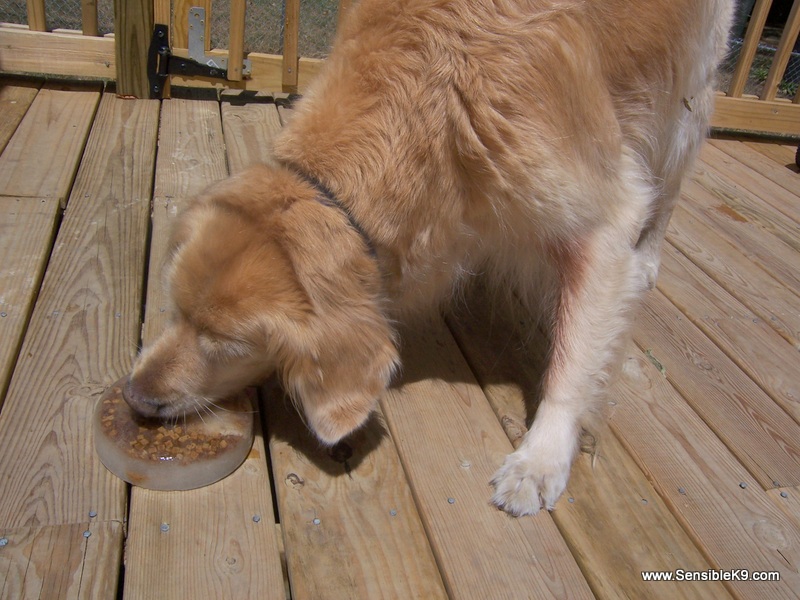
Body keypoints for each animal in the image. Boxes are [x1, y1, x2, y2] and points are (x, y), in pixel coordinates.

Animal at [128, 0, 736, 516]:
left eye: (227, 345)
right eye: (174, 309)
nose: (135, 395)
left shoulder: (604, 217)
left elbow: (574, 355)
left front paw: (540, 458)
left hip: (687, 93)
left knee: (670, 182)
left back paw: (650, 257)